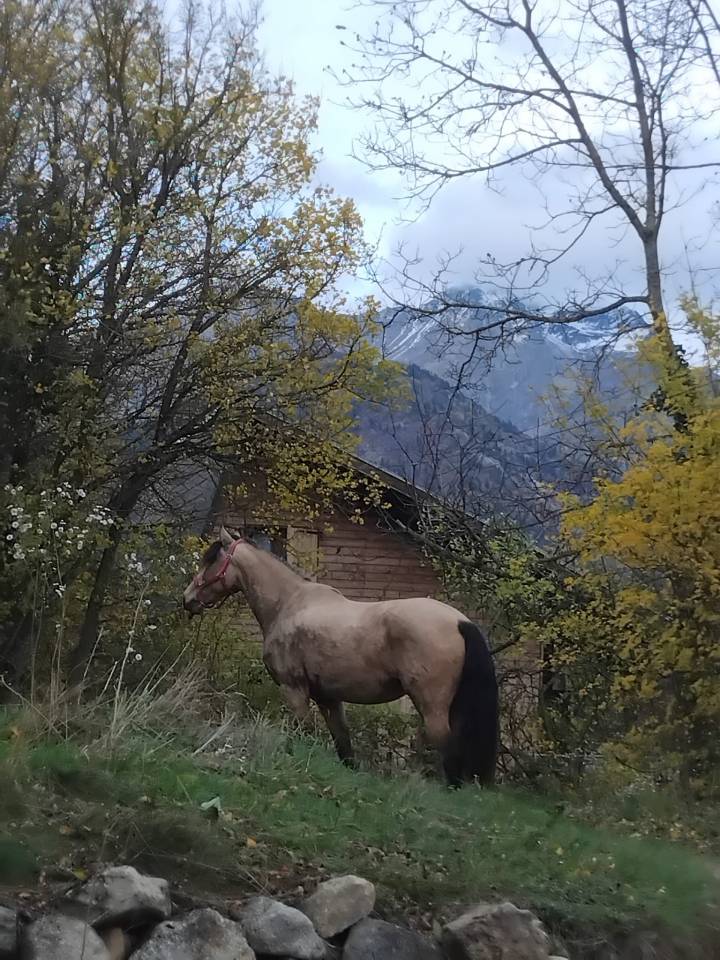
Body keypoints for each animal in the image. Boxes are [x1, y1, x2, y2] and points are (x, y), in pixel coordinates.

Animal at [182, 526, 499, 787]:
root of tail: (460, 621)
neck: (288, 604)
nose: (188, 599)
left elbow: (301, 733)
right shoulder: (329, 698)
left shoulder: (294, 690)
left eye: (210, 560)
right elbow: (344, 745)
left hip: (432, 708)